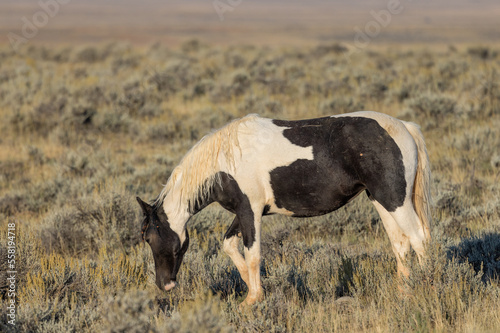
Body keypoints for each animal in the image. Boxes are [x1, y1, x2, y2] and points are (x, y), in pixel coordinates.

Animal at [136, 110, 430, 304]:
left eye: (149, 238)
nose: (164, 284)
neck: (224, 161)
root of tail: (404, 126)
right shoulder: (246, 211)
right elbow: (230, 245)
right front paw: (252, 289)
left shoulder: (249, 211)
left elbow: (253, 254)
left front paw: (252, 300)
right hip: (380, 199)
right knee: (400, 243)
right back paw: (404, 292)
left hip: (395, 200)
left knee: (418, 238)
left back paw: (428, 284)